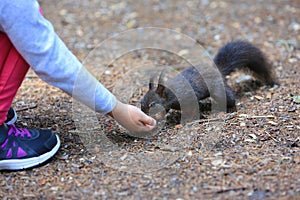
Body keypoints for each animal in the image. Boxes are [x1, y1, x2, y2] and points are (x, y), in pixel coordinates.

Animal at [141, 39, 276, 119]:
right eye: (142, 100)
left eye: (153, 104)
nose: (144, 113)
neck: (169, 94)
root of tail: (218, 71)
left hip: (219, 90)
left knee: (230, 98)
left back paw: (232, 108)